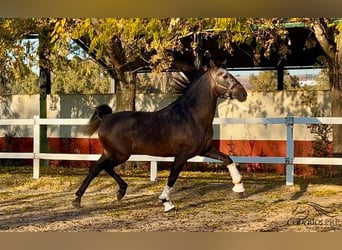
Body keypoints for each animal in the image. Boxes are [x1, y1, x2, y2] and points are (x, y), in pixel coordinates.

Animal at [73, 60, 247, 211]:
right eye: (223, 75)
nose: (243, 94)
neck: (191, 116)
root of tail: (106, 118)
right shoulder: (182, 155)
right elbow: (172, 177)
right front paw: (166, 202)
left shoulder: (204, 149)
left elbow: (228, 159)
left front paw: (239, 188)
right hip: (120, 154)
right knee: (104, 167)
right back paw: (117, 192)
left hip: (110, 152)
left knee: (95, 168)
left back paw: (80, 199)